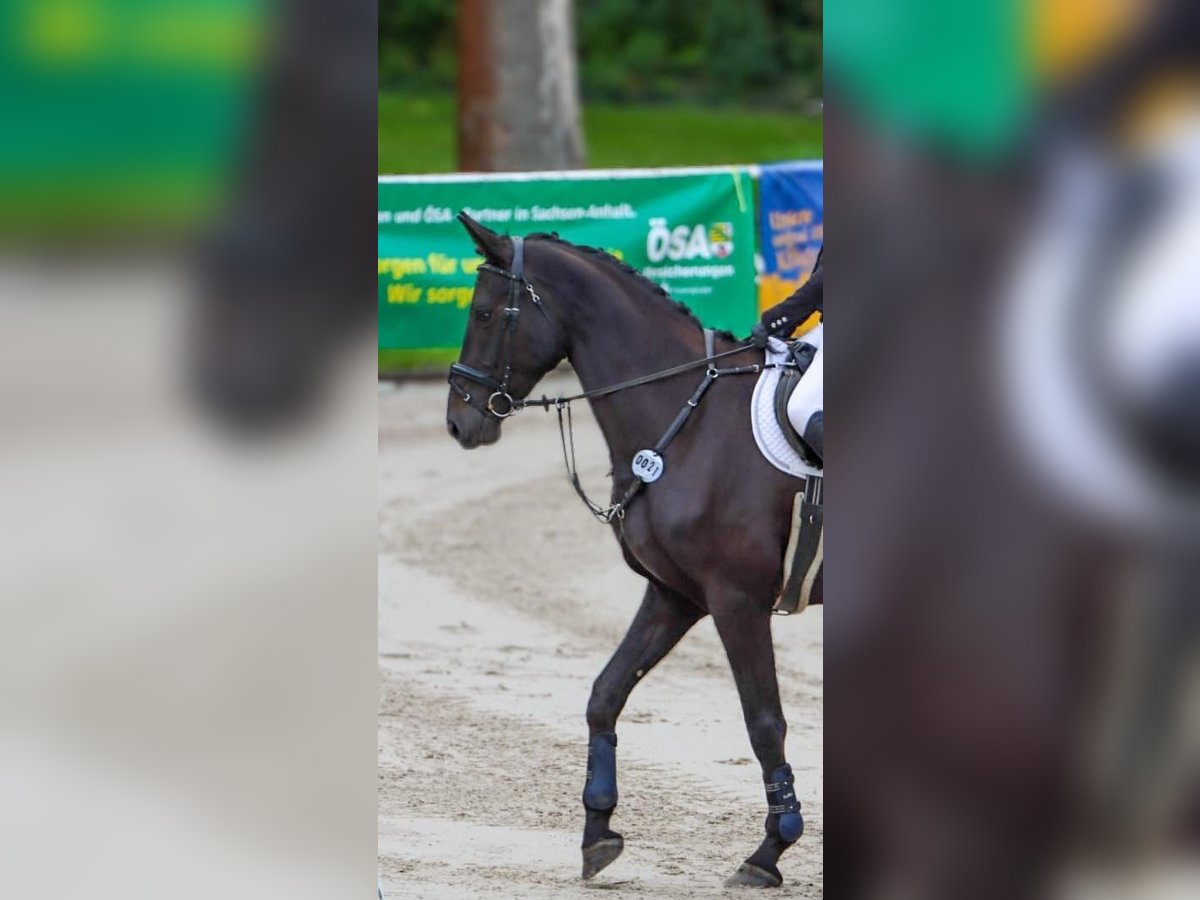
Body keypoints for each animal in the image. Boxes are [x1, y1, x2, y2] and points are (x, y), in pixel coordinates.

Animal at [445, 211, 819, 887]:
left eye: (484, 313)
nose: (458, 422)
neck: (689, 420)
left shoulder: (736, 600)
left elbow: (764, 721)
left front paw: (770, 850)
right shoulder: (674, 595)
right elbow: (605, 693)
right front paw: (598, 829)